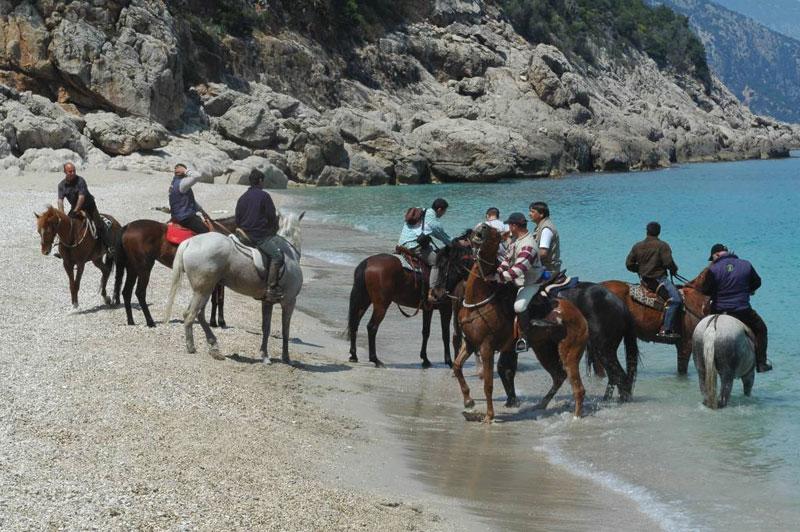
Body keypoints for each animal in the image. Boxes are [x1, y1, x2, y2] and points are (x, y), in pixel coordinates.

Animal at [166, 210, 306, 364]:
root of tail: (190, 242)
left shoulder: (267, 302)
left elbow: (266, 328)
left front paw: (265, 355)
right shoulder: (289, 302)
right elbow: (285, 329)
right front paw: (286, 357)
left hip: (204, 290)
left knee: (198, 314)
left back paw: (213, 344)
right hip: (203, 290)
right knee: (191, 315)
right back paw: (191, 346)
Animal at [346, 233, 472, 370]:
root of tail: (367, 263)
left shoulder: (428, 308)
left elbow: (426, 332)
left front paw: (425, 359)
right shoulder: (446, 308)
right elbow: (445, 334)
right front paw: (449, 361)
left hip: (364, 300)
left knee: (354, 323)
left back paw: (353, 355)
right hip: (381, 305)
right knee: (372, 327)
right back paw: (375, 359)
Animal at [454, 224, 592, 424]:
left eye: (495, 233)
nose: (481, 229)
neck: (478, 300)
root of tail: (580, 316)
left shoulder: (487, 347)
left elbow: (488, 384)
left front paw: (488, 416)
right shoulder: (470, 342)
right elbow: (457, 367)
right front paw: (468, 401)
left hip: (569, 353)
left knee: (578, 388)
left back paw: (575, 418)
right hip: (544, 350)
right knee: (559, 376)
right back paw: (541, 405)